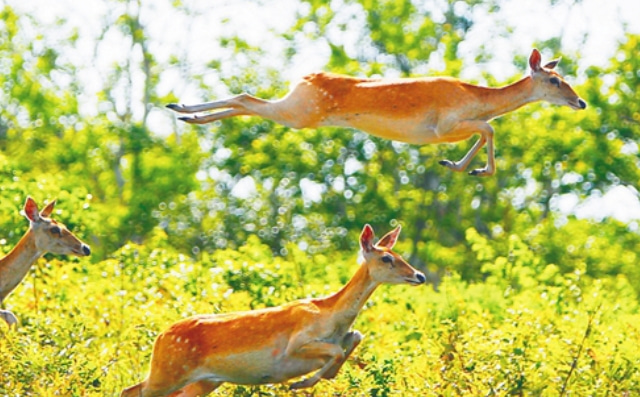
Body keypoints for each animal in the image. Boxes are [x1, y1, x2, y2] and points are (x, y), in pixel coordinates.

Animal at [122, 224, 428, 394]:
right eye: (387, 258)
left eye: (400, 255)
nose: (420, 276)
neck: (332, 316)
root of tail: (159, 337)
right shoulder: (296, 342)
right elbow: (336, 351)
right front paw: (299, 384)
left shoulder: (345, 336)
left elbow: (353, 340)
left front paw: (309, 380)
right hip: (168, 371)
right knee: (130, 390)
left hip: (202, 381)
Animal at [169, 48, 584, 176]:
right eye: (554, 80)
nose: (581, 102)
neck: (478, 95)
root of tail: (304, 77)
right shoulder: (444, 125)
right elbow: (490, 129)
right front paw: (469, 168)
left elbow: (488, 129)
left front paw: (459, 166)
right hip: (301, 112)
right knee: (246, 99)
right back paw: (183, 109)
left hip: (299, 110)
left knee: (247, 101)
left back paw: (184, 111)